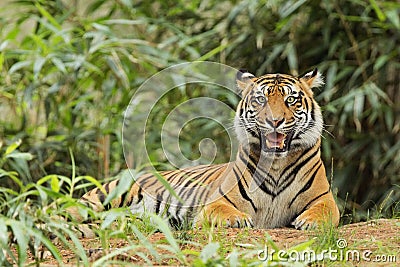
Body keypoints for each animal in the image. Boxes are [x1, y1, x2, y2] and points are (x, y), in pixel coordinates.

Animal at [72, 68, 340, 230]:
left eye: (290, 100)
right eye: (261, 100)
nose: (274, 121)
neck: (275, 165)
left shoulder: (324, 198)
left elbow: (325, 212)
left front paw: (309, 222)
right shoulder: (216, 200)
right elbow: (223, 211)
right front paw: (238, 220)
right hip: (104, 196)